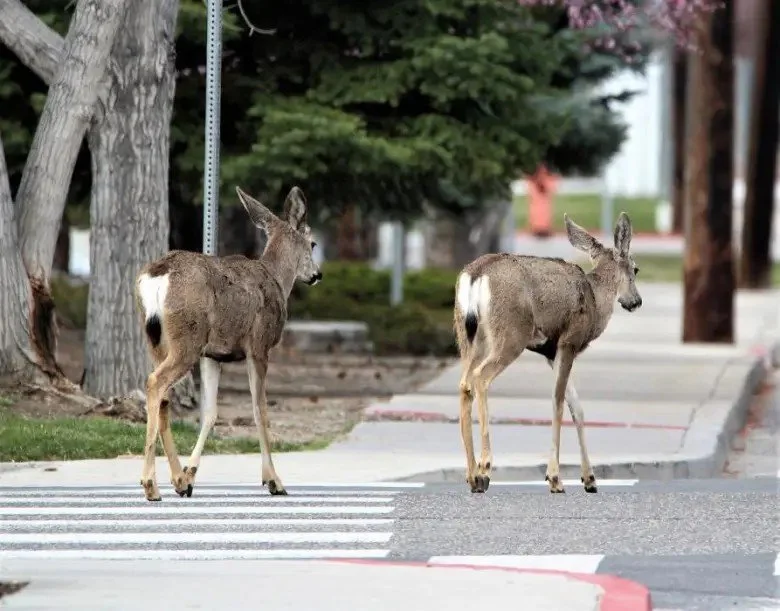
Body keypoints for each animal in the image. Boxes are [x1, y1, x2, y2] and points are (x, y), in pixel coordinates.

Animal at [133, 185, 322, 502]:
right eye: (313, 243)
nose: (317, 275)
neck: (277, 279)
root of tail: (157, 275)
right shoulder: (259, 347)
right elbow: (260, 412)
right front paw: (274, 480)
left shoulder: (213, 355)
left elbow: (210, 414)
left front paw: (190, 476)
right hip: (187, 339)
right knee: (155, 383)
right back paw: (151, 485)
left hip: (156, 339)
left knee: (163, 397)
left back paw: (176, 480)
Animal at [453, 212, 642, 495]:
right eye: (635, 268)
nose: (636, 301)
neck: (595, 299)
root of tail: (476, 274)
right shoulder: (568, 341)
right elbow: (558, 401)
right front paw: (555, 478)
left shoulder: (550, 352)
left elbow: (577, 407)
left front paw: (590, 479)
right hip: (510, 334)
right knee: (481, 378)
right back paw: (485, 470)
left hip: (468, 337)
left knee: (465, 384)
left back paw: (472, 477)